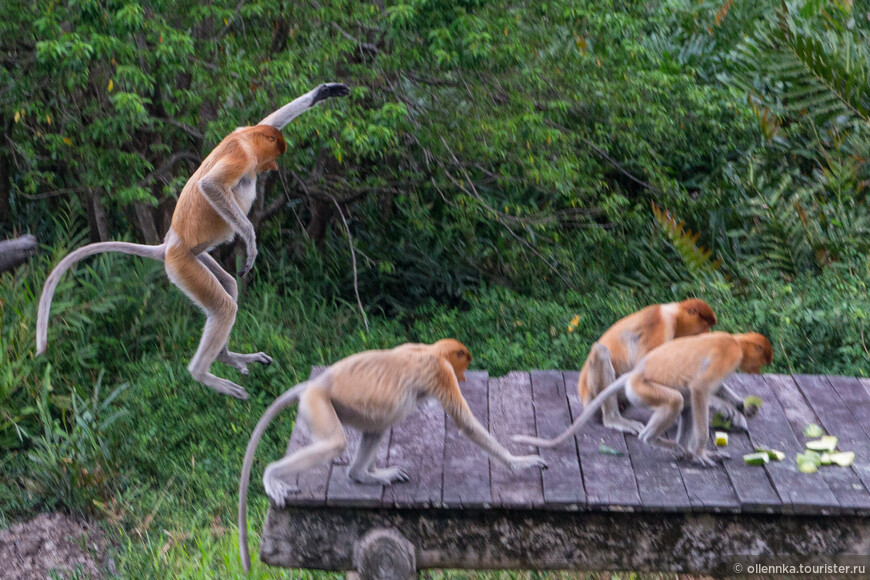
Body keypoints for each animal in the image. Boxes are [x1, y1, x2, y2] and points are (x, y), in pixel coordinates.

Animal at [238, 338, 548, 572]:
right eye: (463, 363)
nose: (463, 376)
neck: (430, 350)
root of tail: (314, 384)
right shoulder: (440, 372)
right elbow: (467, 425)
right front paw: (521, 462)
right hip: (318, 404)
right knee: (336, 443)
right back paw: (272, 474)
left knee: (377, 427)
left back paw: (363, 474)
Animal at [516, 330, 772, 462]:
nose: (759, 371)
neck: (736, 340)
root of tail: (635, 373)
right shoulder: (728, 354)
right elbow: (701, 387)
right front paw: (701, 452)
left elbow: (713, 387)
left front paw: (742, 407)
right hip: (642, 390)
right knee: (678, 400)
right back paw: (660, 441)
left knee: (686, 402)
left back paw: (682, 450)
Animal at [584, 300, 720, 436]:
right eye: (705, 327)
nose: (708, 333)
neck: (674, 315)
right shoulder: (660, 323)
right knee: (601, 352)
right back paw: (614, 419)